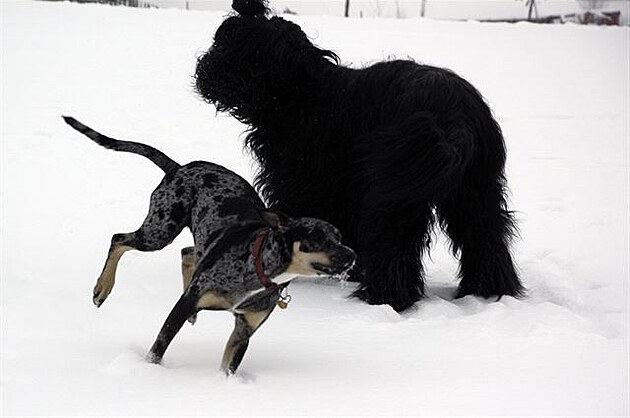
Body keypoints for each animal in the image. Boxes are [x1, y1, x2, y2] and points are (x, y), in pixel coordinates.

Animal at [65, 116, 360, 374]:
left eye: (339, 237)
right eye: (316, 237)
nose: (352, 255)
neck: (259, 268)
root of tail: (178, 167)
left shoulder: (244, 331)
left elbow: (228, 367)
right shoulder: (185, 304)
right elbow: (158, 349)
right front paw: (149, 372)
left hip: (194, 237)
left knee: (186, 252)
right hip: (160, 229)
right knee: (119, 239)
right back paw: (102, 288)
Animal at [194, 0, 528, 310]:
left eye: (227, 43)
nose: (203, 67)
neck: (301, 92)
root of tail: (455, 115)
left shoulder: (302, 182)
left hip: (398, 188)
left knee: (395, 241)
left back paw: (385, 297)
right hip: (474, 190)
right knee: (485, 236)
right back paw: (488, 291)